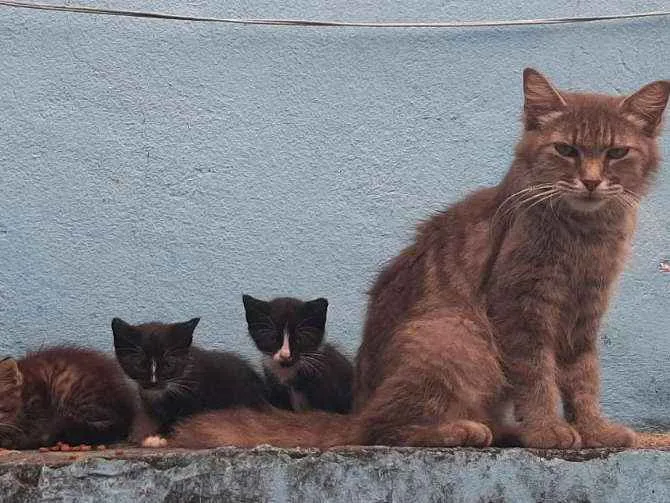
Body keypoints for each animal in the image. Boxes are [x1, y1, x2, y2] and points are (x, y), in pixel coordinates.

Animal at [161, 69, 668, 450]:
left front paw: (595, 429)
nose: (591, 181)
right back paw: (465, 430)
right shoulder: (522, 310)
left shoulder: (584, 316)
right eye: (566, 150)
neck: (585, 235)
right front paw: (548, 430)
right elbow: (539, 379)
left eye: (616, 152)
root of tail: (358, 409)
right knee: (384, 429)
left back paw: (503, 429)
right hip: (455, 332)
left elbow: (584, 380)